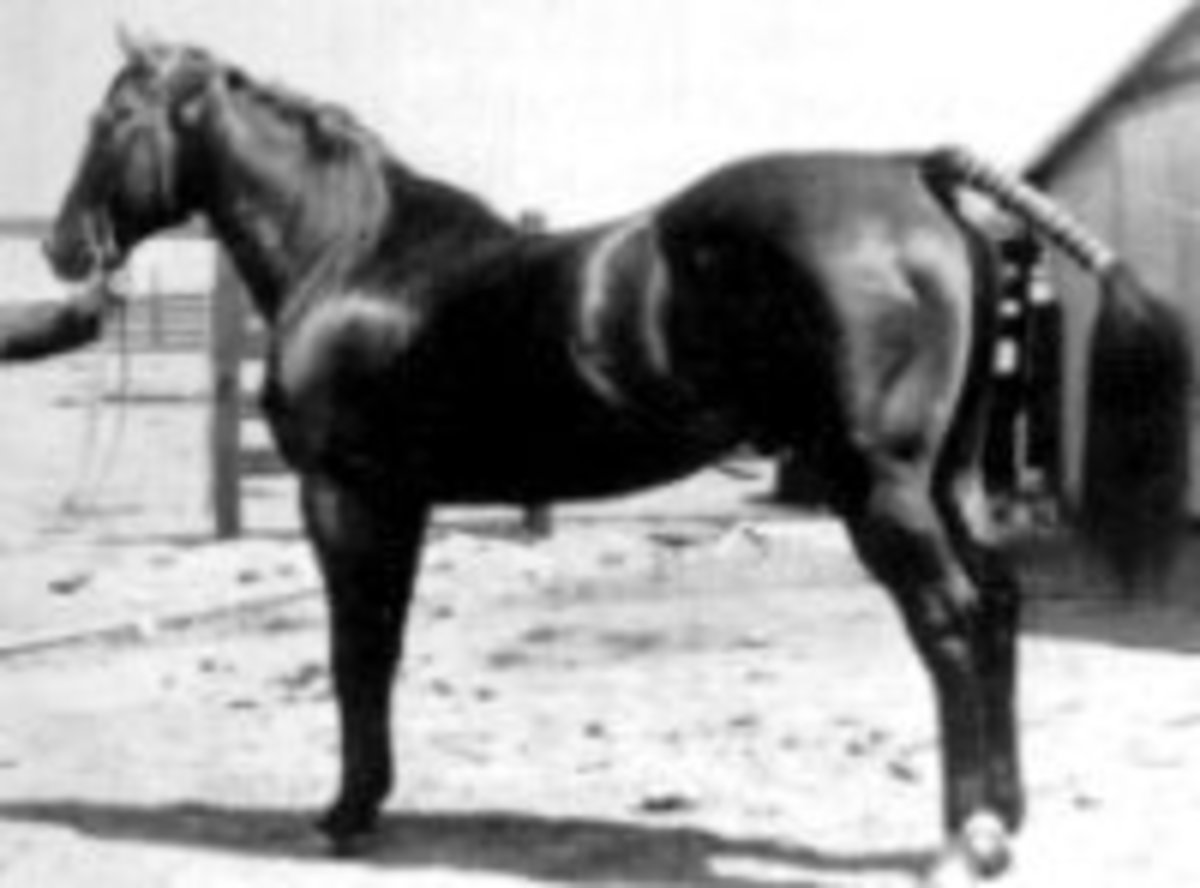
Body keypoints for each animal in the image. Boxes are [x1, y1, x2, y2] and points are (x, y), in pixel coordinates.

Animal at [42, 34, 1191, 883]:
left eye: (111, 121)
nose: (61, 248)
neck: (354, 258)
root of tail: (915, 173)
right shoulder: (400, 503)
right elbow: (382, 647)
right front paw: (365, 800)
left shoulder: (347, 498)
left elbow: (354, 652)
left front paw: (346, 812)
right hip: (949, 480)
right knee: (996, 602)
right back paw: (1008, 814)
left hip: (883, 490)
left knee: (950, 620)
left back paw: (964, 841)